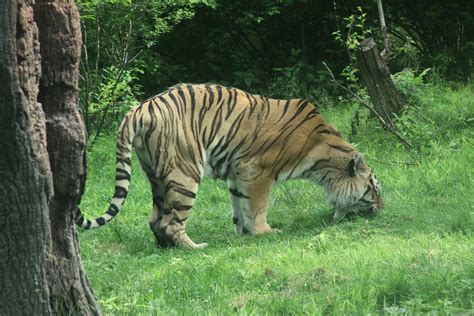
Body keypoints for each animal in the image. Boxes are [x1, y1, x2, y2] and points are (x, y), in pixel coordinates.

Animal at [76, 82, 384, 248]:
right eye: (374, 188)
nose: (383, 209)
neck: (321, 156)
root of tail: (138, 110)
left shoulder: (238, 174)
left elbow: (240, 208)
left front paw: (243, 233)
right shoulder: (258, 172)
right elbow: (258, 208)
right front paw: (264, 232)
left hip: (155, 174)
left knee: (155, 220)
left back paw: (166, 248)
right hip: (185, 172)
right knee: (171, 222)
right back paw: (194, 247)